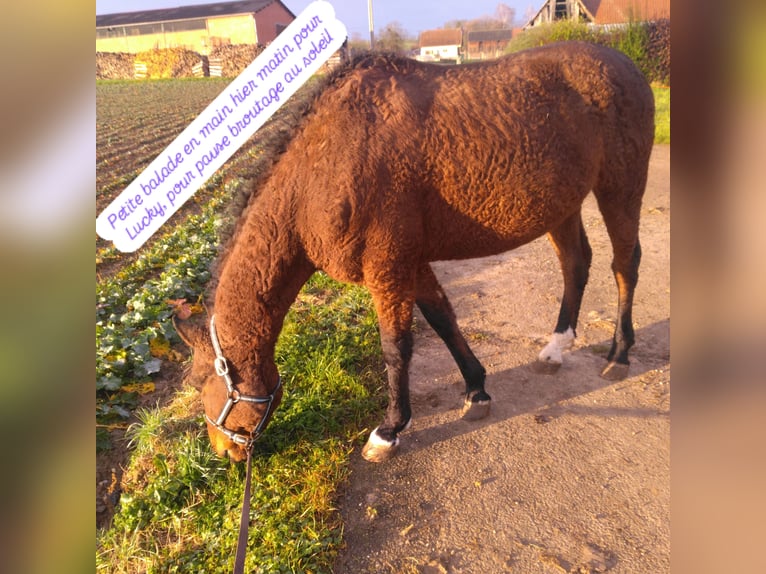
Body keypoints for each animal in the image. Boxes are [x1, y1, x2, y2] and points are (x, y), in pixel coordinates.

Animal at [174, 41, 656, 464]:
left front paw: (389, 430)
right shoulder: (412, 263)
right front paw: (477, 391)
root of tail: (626, 65)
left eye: (200, 384)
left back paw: (619, 354)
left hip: (621, 187)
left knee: (624, 264)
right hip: (563, 206)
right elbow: (443, 319)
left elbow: (396, 347)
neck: (319, 173)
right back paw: (555, 349)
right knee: (576, 264)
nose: (226, 452)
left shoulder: (388, 267)